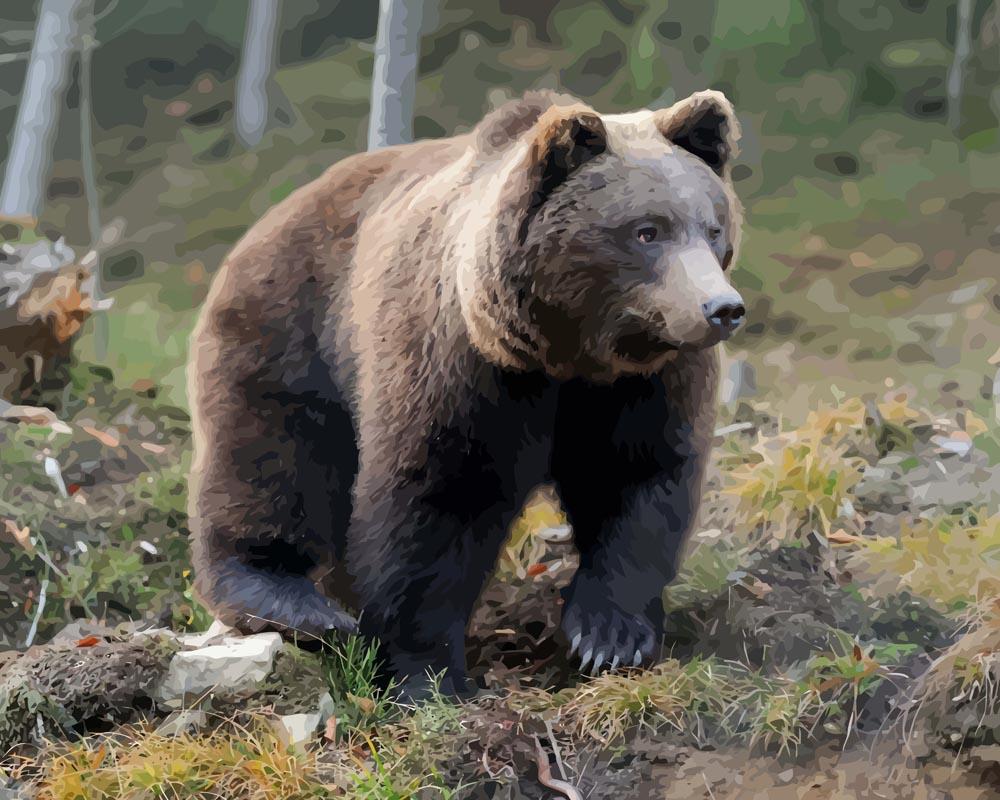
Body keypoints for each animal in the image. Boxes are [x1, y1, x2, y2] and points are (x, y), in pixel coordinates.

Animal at [191, 87, 748, 696]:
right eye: (647, 230)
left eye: (713, 228)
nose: (722, 308)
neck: (563, 353)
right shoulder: (462, 370)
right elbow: (436, 501)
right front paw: (426, 674)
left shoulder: (643, 381)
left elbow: (636, 481)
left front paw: (608, 637)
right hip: (291, 330)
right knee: (272, 459)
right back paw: (295, 603)